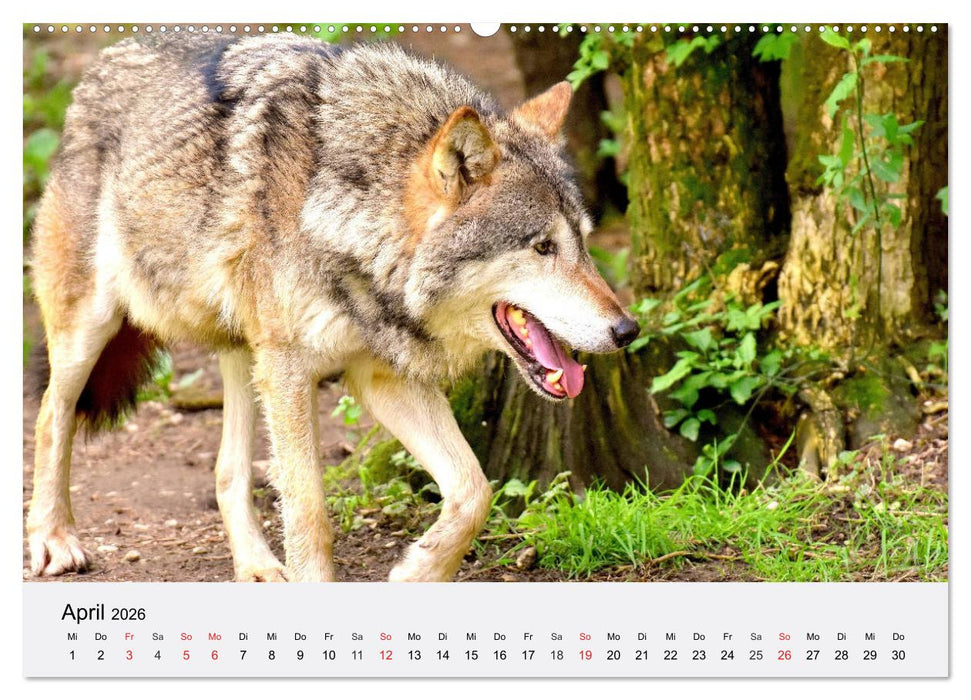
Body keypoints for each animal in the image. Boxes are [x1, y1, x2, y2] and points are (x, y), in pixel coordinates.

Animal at [26, 33, 639, 582]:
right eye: (543, 247)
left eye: (585, 244)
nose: (628, 329)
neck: (348, 213)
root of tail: (103, 62)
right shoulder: (293, 370)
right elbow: (310, 514)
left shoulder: (380, 376)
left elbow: (474, 490)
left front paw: (417, 572)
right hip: (94, 328)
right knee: (50, 416)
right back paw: (54, 539)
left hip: (246, 353)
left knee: (227, 472)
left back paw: (256, 568)